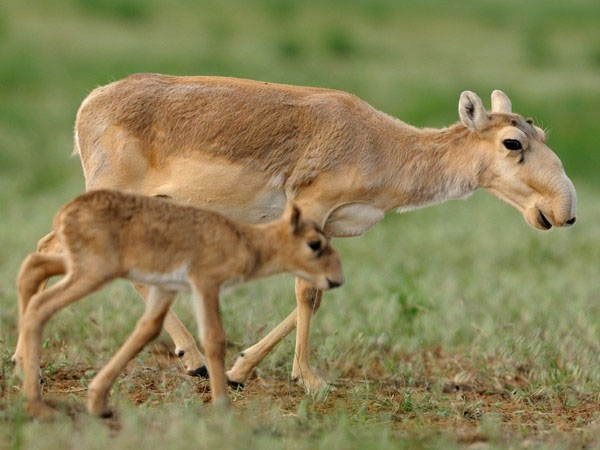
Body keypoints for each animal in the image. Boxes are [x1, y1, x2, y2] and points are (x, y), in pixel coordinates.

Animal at [30, 75, 576, 392]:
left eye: (541, 133)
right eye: (513, 142)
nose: (564, 212)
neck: (383, 145)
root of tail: (90, 103)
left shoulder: (330, 227)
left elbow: (320, 292)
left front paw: (240, 369)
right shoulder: (310, 210)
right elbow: (306, 293)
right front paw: (309, 380)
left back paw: (195, 362)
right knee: (52, 249)